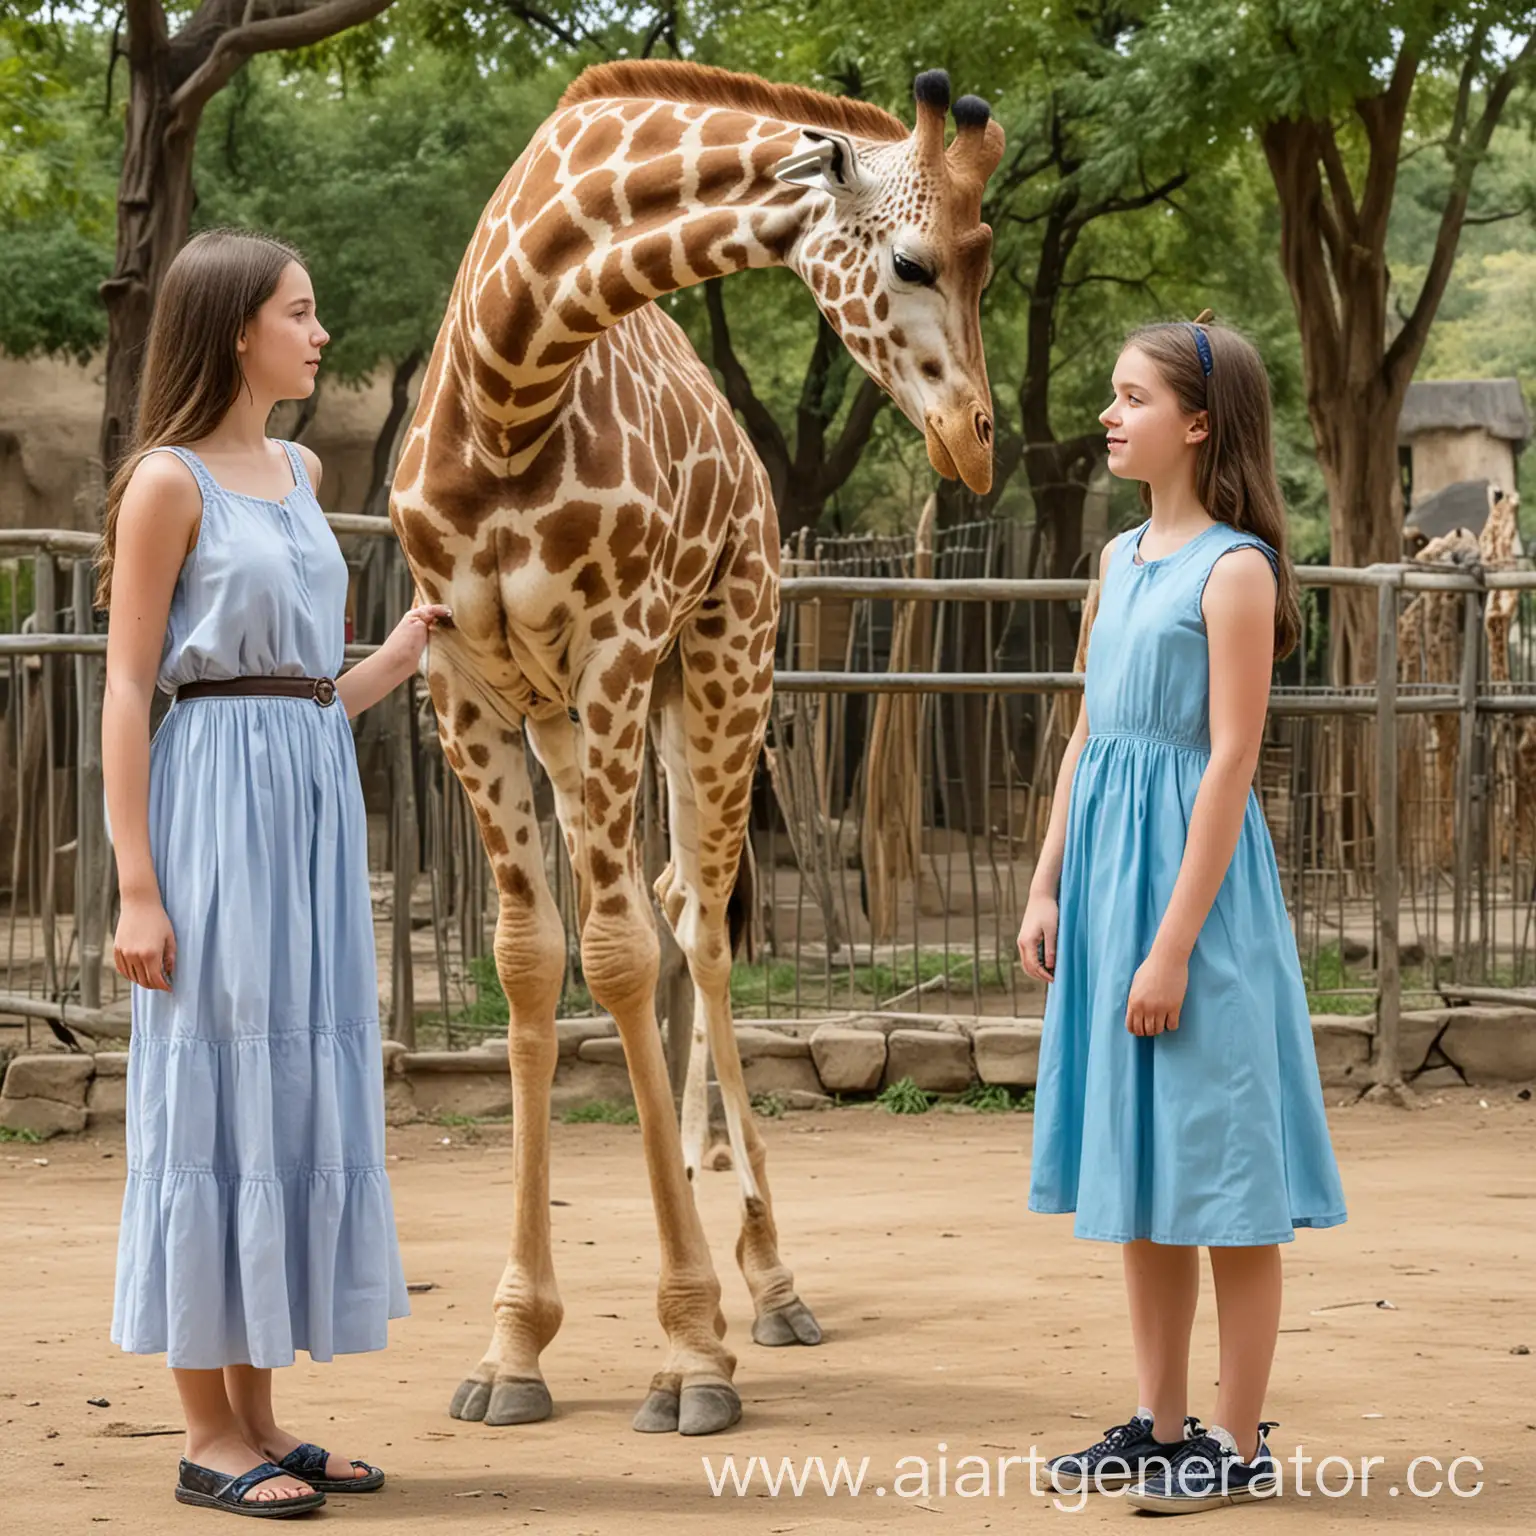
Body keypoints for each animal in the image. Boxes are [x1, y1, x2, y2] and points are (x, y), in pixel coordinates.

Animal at [390, 56, 1001, 1425]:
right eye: (919, 261)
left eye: (988, 257)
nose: (977, 443)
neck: (508, 378)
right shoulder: (461, 682)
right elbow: (530, 960)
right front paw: (512, 1347)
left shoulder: (618, 649)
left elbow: (614, 958)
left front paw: (688, 1348)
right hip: (575, 719)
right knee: (669, 907)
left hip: (723, 668)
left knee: (702, 924)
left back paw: (767, 1287)